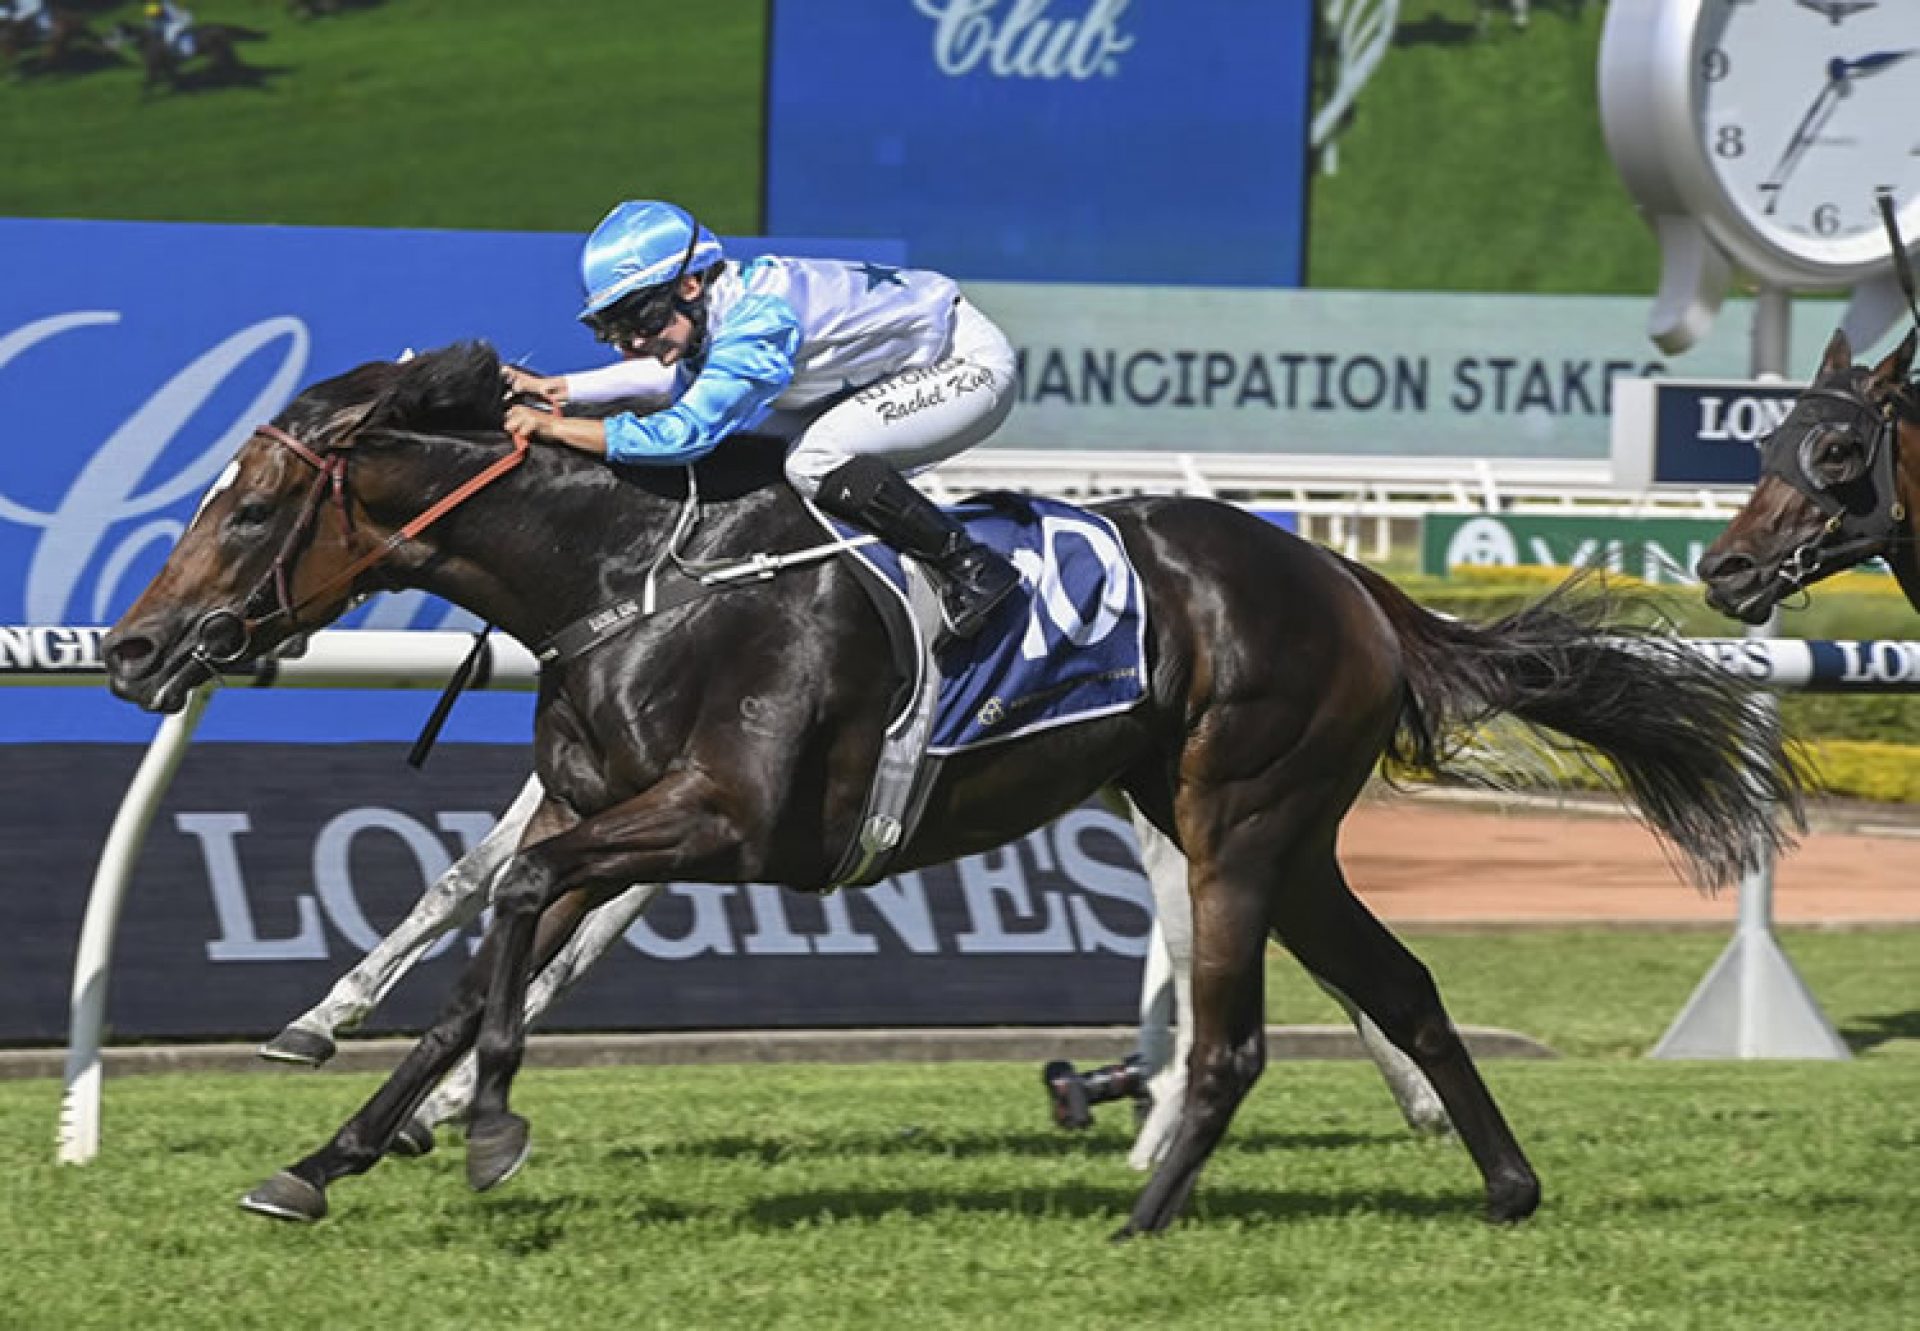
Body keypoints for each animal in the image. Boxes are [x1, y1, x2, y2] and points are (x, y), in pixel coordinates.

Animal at [101, 345, 1812, 1236]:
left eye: (246, 504)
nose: (130, 647)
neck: (633, 577)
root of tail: (1349, 579)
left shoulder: (726, 818)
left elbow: (514, 904)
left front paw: (489, 1128)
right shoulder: (618, 816)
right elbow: (479, 963)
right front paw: (328, 1154)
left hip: (1239, 817)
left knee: (1238, 1033)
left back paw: (1143, 1212)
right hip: (1278, 829)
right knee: (1400, 983)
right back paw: (1508, 1182)